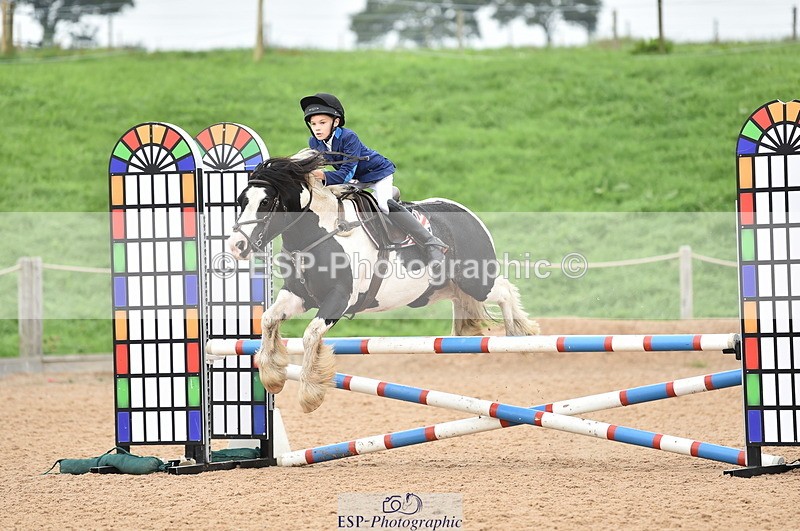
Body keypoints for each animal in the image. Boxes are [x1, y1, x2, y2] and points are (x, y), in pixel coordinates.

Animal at [226, 150, 539, 413]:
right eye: (241, 201)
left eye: (266, 202)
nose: (237, 246)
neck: (319, 234)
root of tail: (467, 214)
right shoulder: (299, 295)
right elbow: (269, 320)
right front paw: (273, 376)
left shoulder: (339, 299)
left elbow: (311, 335)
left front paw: (309, 394)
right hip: (443, 289)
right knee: (466, 303)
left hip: (477, 280)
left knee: (505, 291)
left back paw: (520, 338)